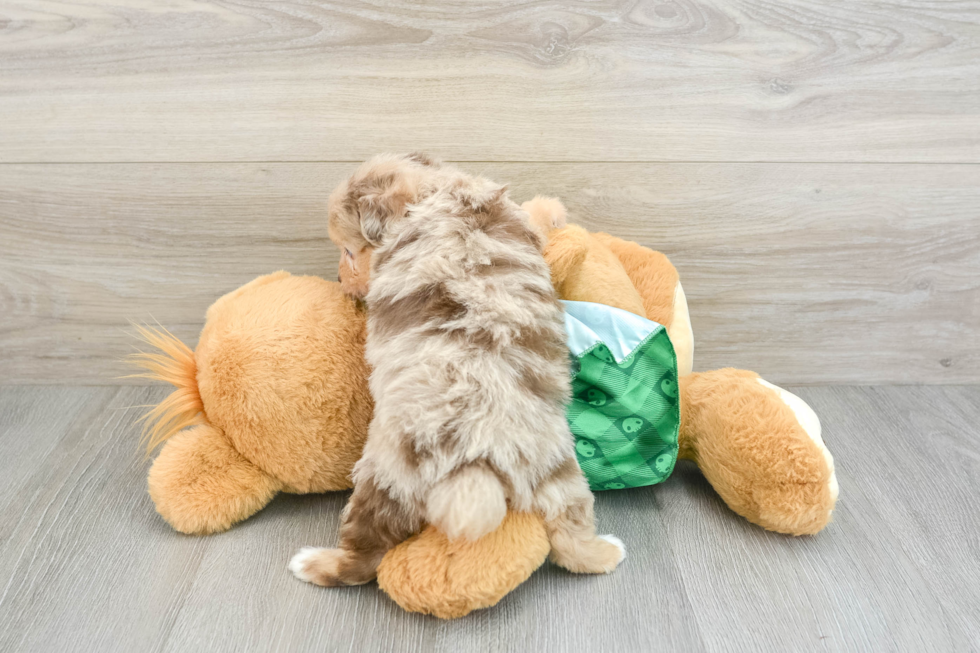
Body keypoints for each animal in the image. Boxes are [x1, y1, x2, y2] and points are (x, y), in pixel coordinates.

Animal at [290, 153, 624, 584]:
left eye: (349, 252)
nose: (336, 277)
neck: (434, 190)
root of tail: (483, 452)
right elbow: (533, 213)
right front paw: (552, 207)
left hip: (386, 476)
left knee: (362, 558)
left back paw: (312, 562)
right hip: (558, 471)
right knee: (572, 538)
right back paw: (608, 551)